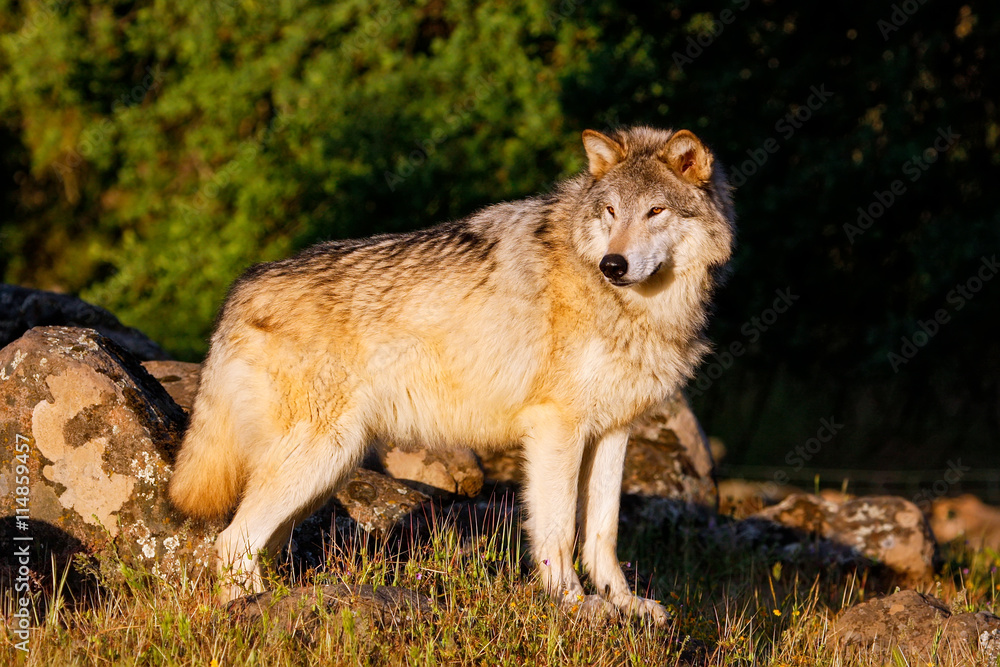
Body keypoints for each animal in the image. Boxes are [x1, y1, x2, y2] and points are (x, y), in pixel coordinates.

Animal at [169, 126, 734, 624]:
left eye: (655, 210)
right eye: (611, 211)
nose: (612, 265)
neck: (635, 308)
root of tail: (241, 288)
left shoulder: (613, 430)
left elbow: (603, 533)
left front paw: (626, 605)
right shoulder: (557, 429)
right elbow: (556, 531)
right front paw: (575, 606)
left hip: (325, 470)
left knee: (258, 544)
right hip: (320, 456)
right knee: (231, 541)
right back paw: (245, 614)